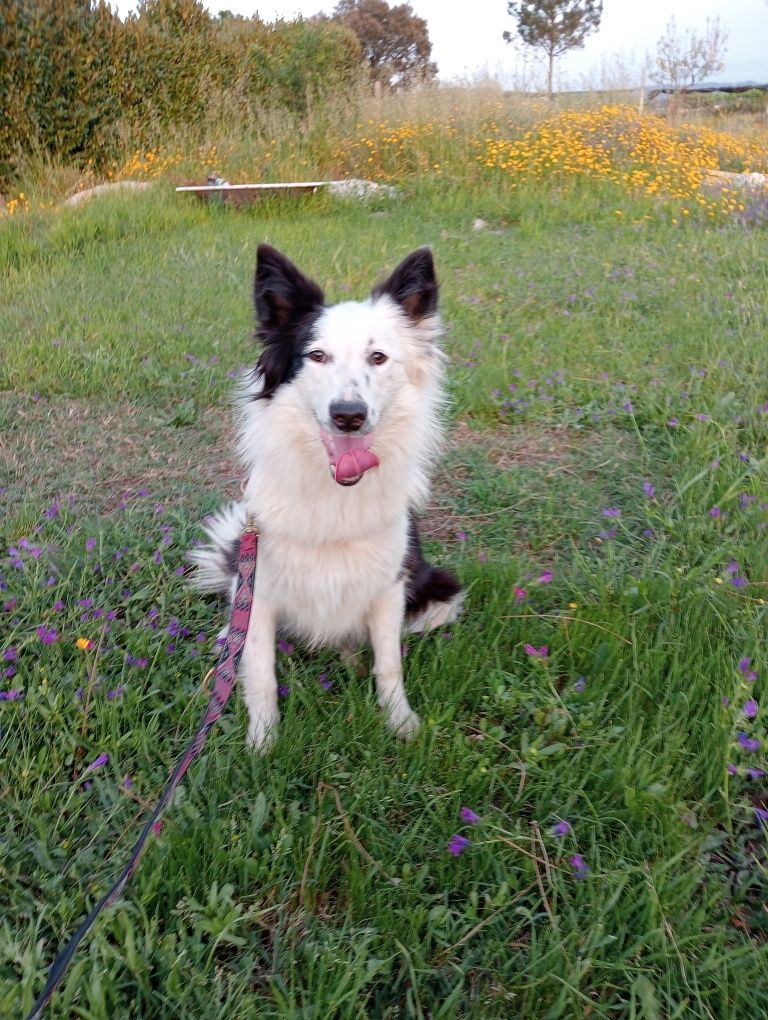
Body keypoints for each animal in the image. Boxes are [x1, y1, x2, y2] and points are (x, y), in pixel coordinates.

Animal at [187, 245, 461, 750]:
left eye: (378, 357)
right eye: (316, 355)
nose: (348, 416)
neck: (335, 496)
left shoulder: (390, 586)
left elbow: (389, 663)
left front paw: (401, 723)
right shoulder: (262, 587)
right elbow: (260, 672)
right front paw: (262, 743)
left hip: (438, 591)